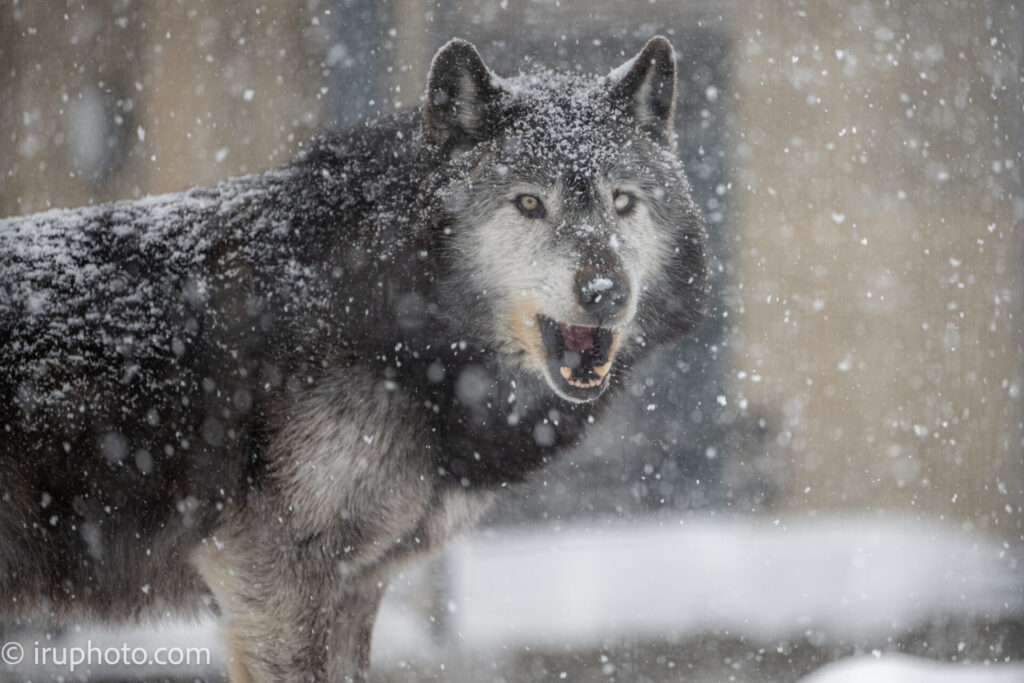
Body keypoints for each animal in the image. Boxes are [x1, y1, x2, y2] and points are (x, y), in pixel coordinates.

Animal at [0, 38, 704, 683]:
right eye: (530, 203)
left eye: (623, 202)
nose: (606, 291)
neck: (382, 313)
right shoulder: (275, 578)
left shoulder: (356, 585)